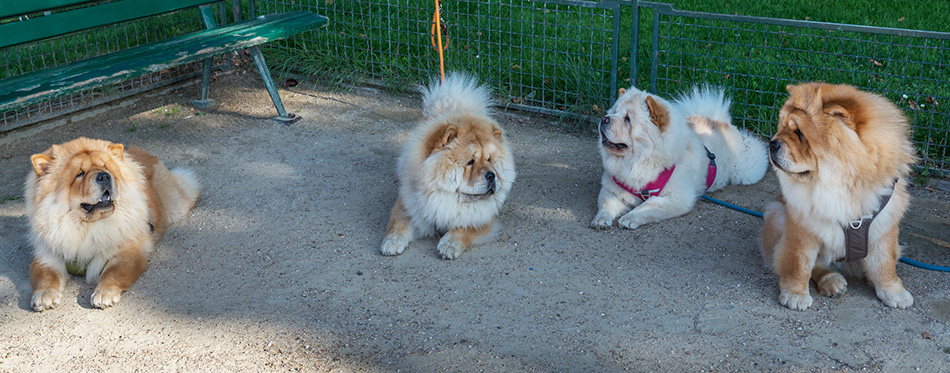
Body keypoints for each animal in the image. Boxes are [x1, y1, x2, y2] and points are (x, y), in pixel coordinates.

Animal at [27, 138, 200, 310]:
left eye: (105, 167)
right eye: (79, 173)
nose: (104, 176)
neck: (85, 227)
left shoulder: (126, 251)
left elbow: (113, 272)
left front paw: (104, 294)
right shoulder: (47, 254)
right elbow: (46, 275)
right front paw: (44, 295)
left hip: (176, 204)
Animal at [380, 72, 516, 258]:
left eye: (489, 160)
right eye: (470, 162)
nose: (491, 175)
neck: (445, 198)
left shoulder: (482, 219)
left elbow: (463, 227)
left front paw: (449, 244)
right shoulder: (410, 203)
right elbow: (399, 223)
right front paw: (391, 242)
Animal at [764, 83, 920, 310]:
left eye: (800, 133)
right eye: (782, 127)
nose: (772, 143)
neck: (842, 184)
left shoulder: (884, 225)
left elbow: (885, 264)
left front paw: (894, 293)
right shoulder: (802, 226)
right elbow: (799, 263)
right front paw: (795, 295)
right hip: (776, 213)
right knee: (818, 264)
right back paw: (832, 281)